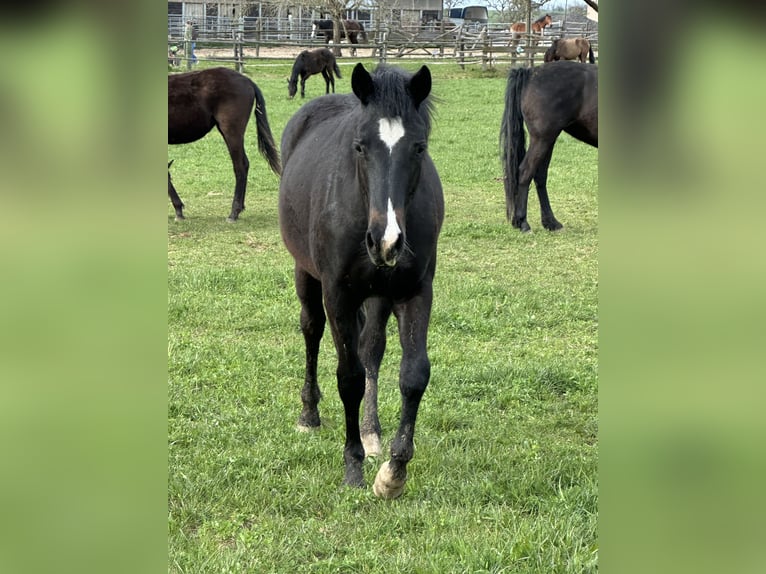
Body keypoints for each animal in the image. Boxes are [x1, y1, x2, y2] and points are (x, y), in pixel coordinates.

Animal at [279, 64, 444, 499]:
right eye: (359, 146)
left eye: (418, 147)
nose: (386, 241)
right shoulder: (338, 294)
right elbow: (348, 378)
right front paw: (352, 466)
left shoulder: (414, 291)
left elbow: (413, 374)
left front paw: (393, 472)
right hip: (307, 274)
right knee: (312, 330)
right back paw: (310, 413)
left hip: (378, 294)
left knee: (371, 347)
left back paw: (371, 433)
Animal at [500, 61, 598, 232]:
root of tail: (531, 72)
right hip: (542, 139)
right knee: (525, 172)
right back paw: (523, 222)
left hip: (548, 140)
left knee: (540, 176)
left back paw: (551, 222)